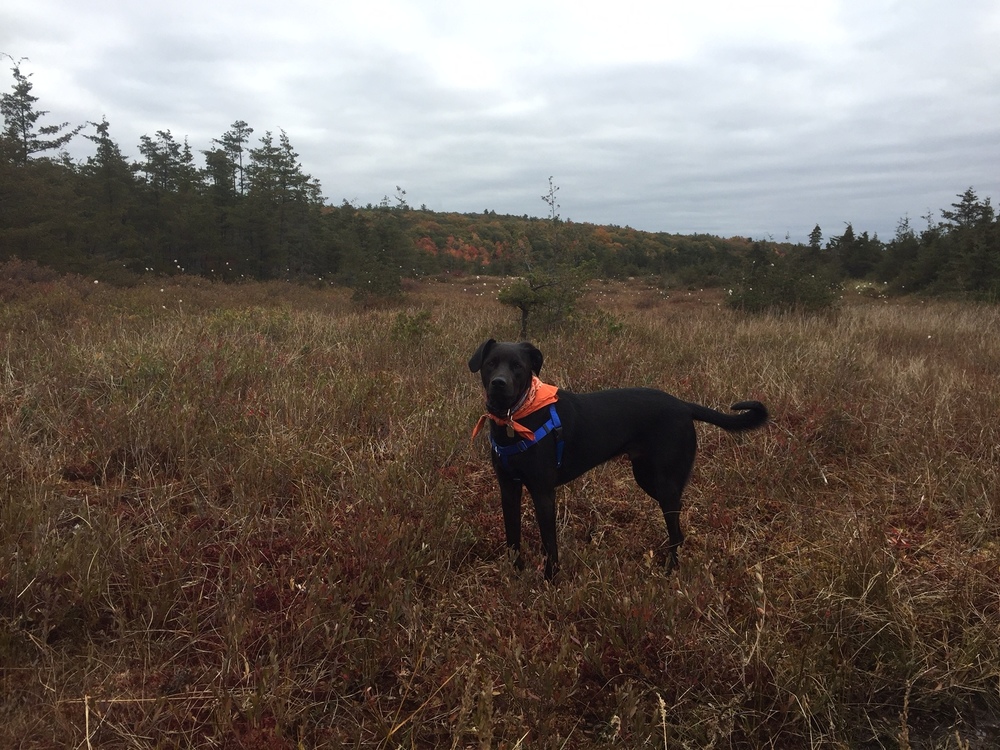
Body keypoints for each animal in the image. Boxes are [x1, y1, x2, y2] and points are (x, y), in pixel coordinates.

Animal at [468, 340, 764, 580]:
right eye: (491, 364)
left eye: (518, 366)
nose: (499, 383)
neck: (515, 418)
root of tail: (683, 406)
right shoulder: (508, 489)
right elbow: (512, 537)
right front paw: (515, 574)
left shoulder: (543, 492)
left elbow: (549, 543)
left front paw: (550, 581)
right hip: (646, 476)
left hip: (664, 482)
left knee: (676, 530)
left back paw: (670, 571)